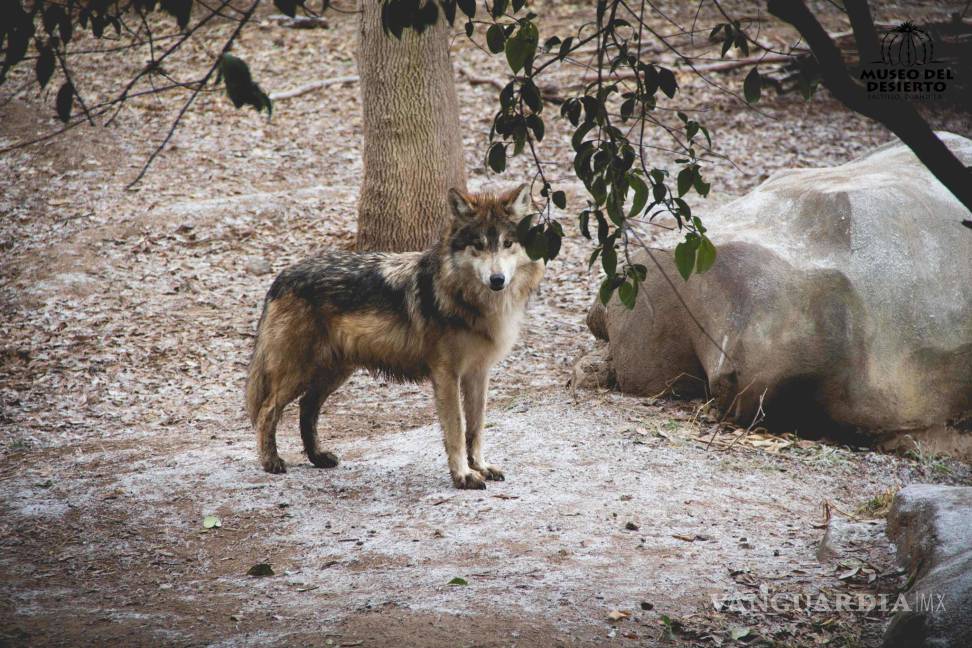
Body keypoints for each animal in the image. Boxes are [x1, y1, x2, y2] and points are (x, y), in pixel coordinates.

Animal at [245, 185, 548, 488]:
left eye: (507, 244)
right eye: (479, 245)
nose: (497, 280)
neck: (469, 301)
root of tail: (281, 276)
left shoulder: (478, 373)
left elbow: (477, 427)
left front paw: (481, 467)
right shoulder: (446, 374)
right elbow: (457, 429)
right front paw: (463, 475)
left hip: (335, 373)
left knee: (306, 408)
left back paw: (318, 457)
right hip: (298, 372)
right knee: (267, 410)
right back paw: (271, 462)